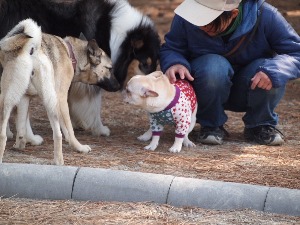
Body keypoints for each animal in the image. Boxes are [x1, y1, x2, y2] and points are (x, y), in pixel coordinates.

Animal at [0, 0, 161, 136]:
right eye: (145, 63)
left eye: (155, 62)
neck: (113, 33)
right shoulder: (91, 78)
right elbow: (94, 105)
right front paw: (99, 128)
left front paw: (75, 123)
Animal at [0, 18, 119, 164]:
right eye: (110, 68)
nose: (119, 86)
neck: (71, 54)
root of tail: (32, 48)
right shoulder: (62, 99)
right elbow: (68, 130)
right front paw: (78, 147)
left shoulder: (25, 98)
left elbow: (22, 126)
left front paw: (21, 144)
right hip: (52, 102)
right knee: (58, 134)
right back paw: (59, 160)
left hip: (7, 100)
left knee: (2, 134)